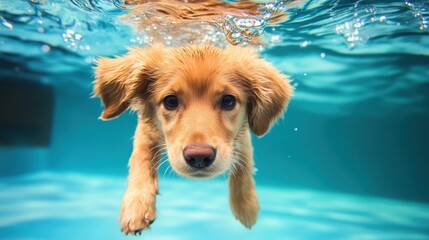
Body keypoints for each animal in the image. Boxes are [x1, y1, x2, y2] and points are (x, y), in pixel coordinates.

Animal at [91, 44, 290, 234]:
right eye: (170, 101)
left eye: (228, 101)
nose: (199, 157)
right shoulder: (147, 130)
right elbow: (141, 159)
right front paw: (136, 206)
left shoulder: (241, 137)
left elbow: (244, 166)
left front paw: (246, 207)